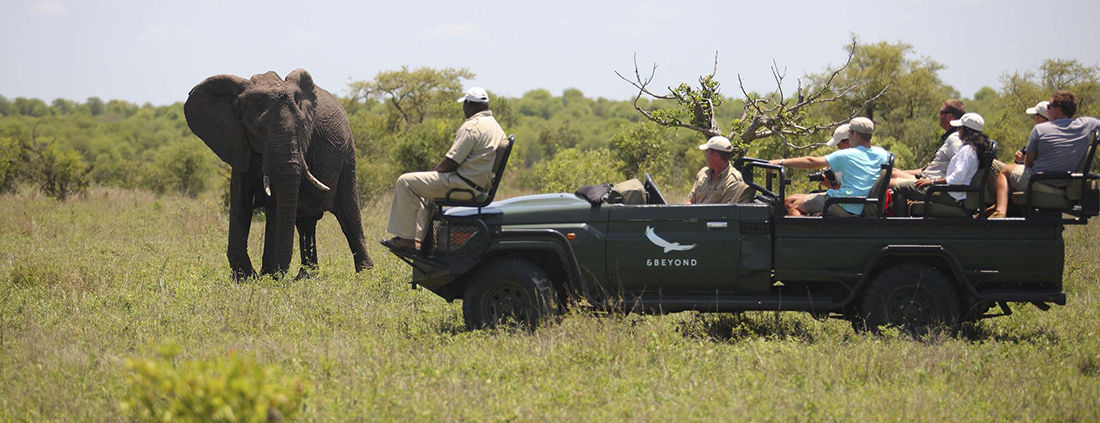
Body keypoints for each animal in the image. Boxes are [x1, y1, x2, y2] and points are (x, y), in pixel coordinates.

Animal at [184, 68, 374, 280]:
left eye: (302, 127)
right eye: (257, 130)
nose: (276, 274)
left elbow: (275, 205)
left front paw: (267, 276)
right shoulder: (237, 143)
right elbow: (240, 202)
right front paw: (244, 278)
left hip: (348, 157)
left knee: (349, 217)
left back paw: (365, 275)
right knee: (306, 223)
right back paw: (306, 276)